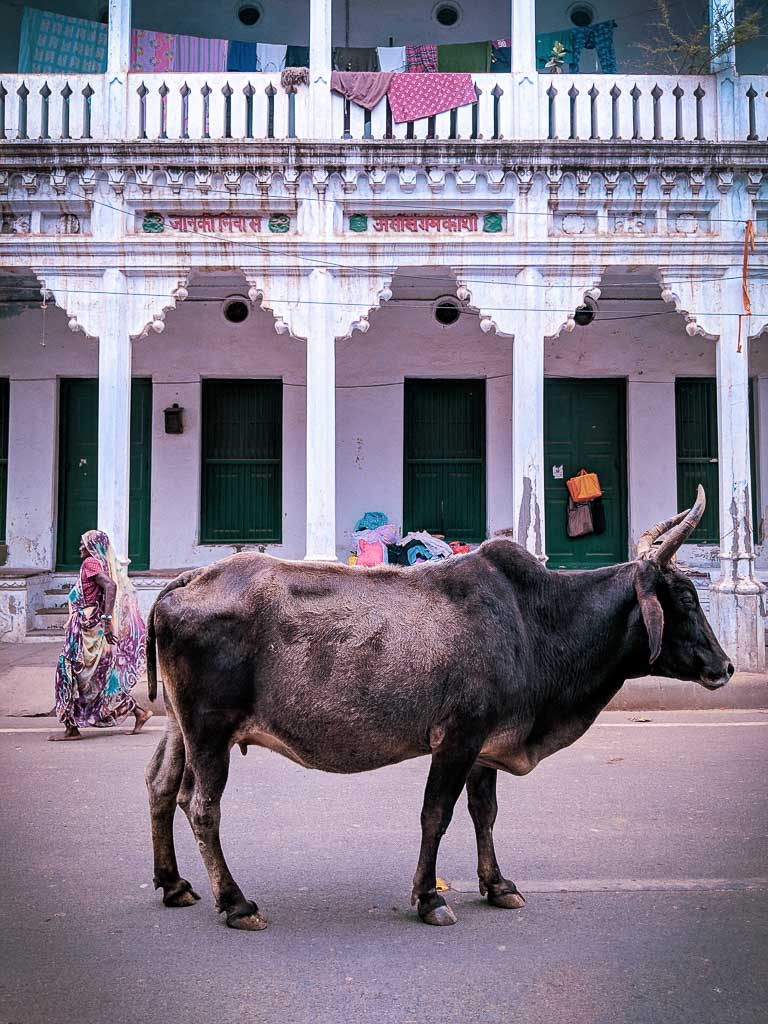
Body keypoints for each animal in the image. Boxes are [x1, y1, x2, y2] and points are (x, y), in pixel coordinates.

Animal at [144, 483, 733, 933]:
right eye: (684, 599)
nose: (725, 667)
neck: (533, 619)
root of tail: (189, 580)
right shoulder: (458, 738)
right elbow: (437, 813)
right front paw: (430, 897)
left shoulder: (487, 743)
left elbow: (483, 812)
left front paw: (497, 884)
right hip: (210, 731)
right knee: (201, 806)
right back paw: (236, 903)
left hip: (179, 726)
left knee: (161, 788)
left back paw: (174, 884)